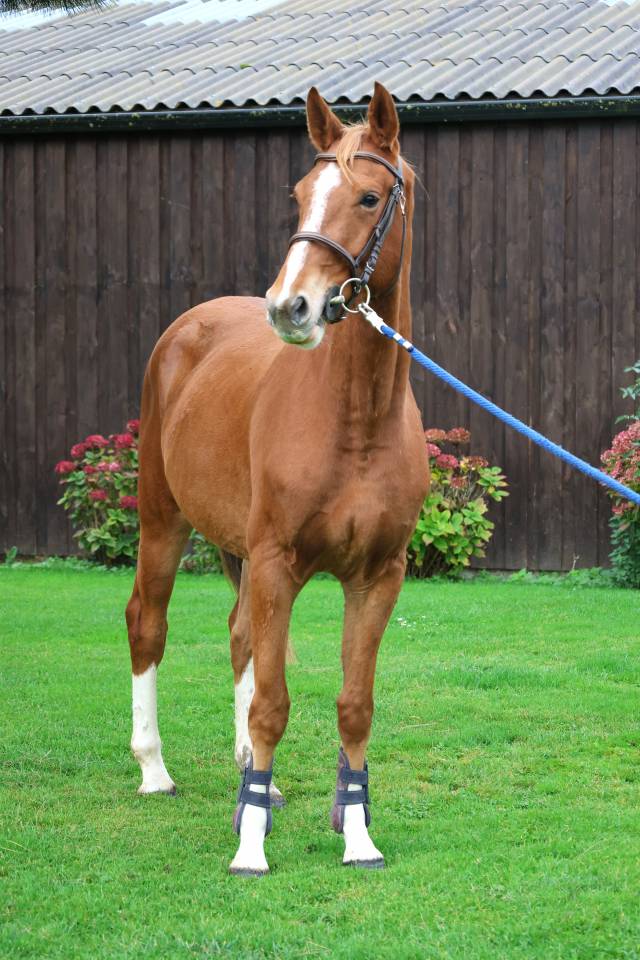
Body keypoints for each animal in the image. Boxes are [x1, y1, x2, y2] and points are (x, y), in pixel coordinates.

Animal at [125, 82, 429, 876]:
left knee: (239, 636)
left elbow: (353, 704)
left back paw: (245, 771)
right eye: (298, 196)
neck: (356, 421)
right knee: (148, 623)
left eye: (368, 197)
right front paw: (251, 846)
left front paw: (357, 835)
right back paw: (155, 770)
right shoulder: (275, 563)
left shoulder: (378, 576)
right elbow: (273, 703)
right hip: (162, 520)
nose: (289, 306)